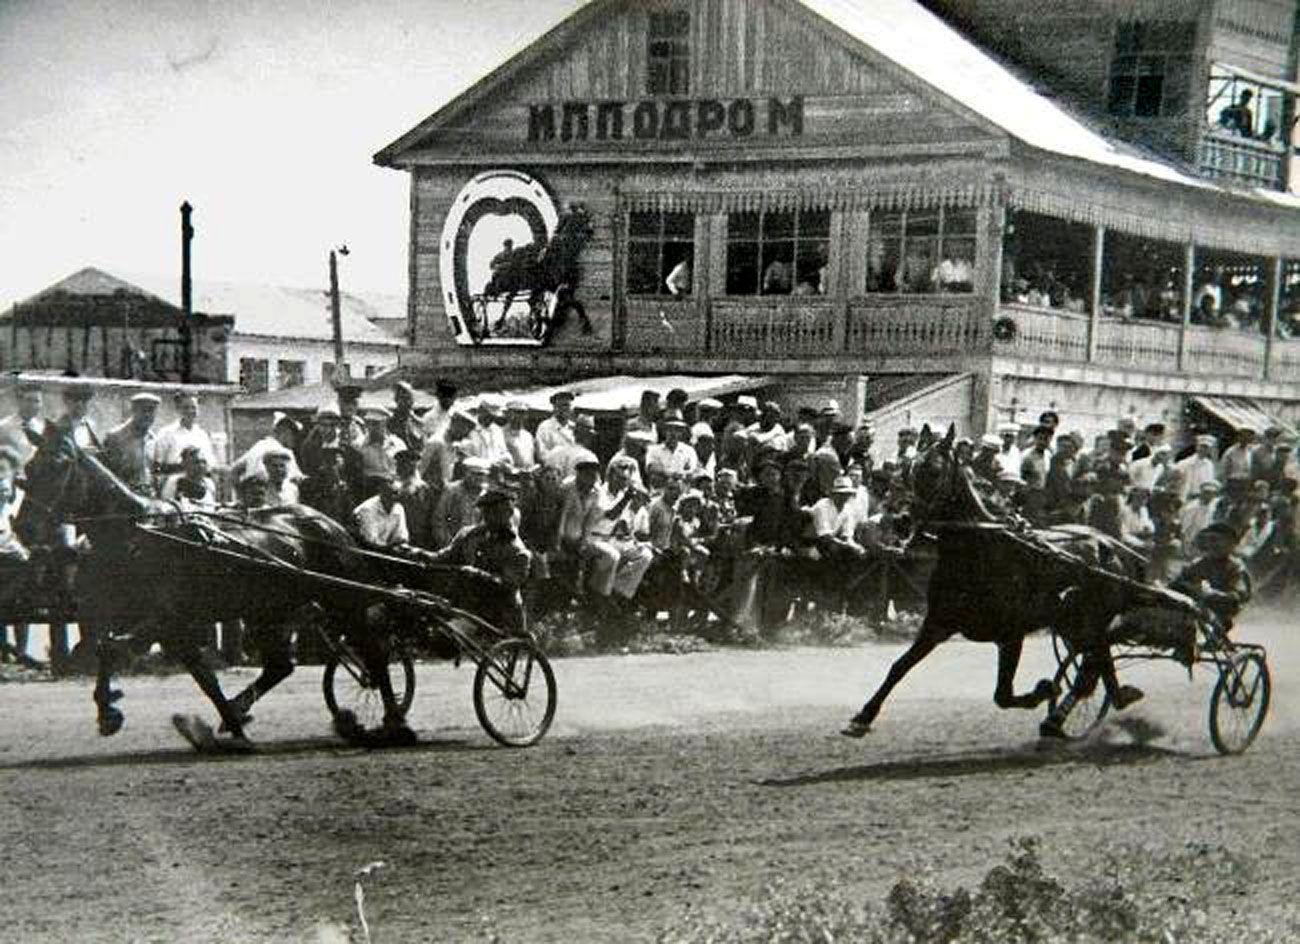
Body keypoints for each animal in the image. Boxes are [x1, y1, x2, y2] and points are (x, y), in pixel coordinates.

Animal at [17, 426, 517, 748]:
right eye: (27, 466)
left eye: (57, 463)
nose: (23, 527)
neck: (143, 533)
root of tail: (335, 526)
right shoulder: (161, 622)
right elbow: (177, 667)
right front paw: (218, 722)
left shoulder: (166, 617)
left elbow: (116, 649)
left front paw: (113, 709)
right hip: (271, 607)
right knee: (282, 664)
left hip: (340, 599)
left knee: (372, 653)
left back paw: (396, 723)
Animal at [842, 426, 1159, 743]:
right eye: (906, 468)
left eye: (933, 470)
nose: (900, 520)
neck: (980, 553)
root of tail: (1112, 544)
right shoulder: (938, 623)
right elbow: (899, 666)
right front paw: (862, 717)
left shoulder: (1011, 633)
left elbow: (1003, 695)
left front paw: (1045, 688)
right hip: (1074, 621)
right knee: (1097, 662)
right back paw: (1101, 703)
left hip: (1090, 620)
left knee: (1090, 670)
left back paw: (1062, 715)